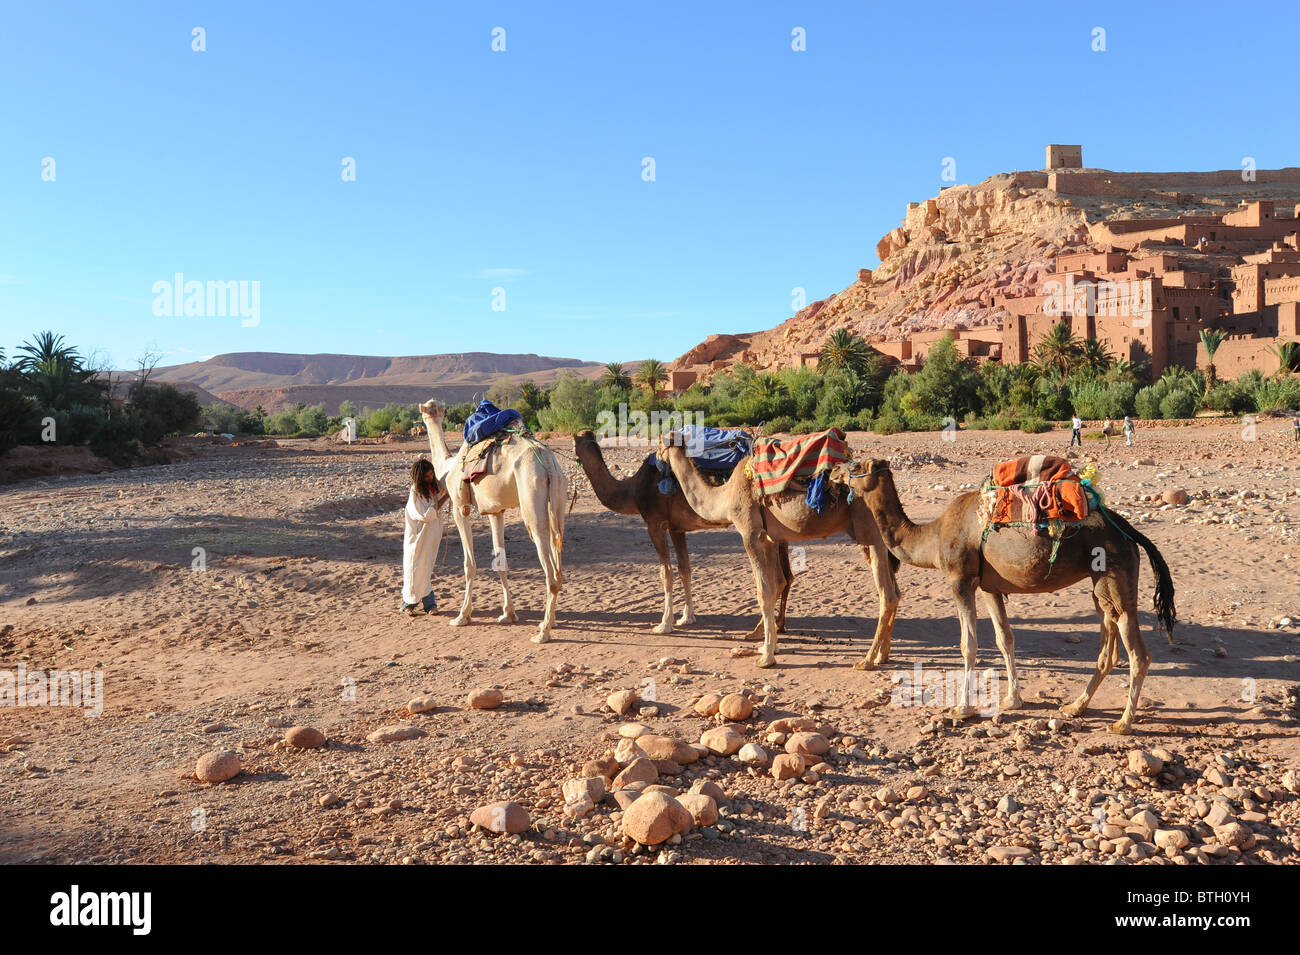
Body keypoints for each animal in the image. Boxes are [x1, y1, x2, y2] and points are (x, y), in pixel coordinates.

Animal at [421, 394, 564, 641]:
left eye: (428, 410)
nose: (426, 412)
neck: (449, 464)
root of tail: (549, 463)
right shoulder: (496, 512)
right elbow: (501, 562)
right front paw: (508, 614)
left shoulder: (460, 507)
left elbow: (469, 564)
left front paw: (462, 616)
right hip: (558, 501)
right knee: (558, 550)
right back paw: (549, 622)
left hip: (531, 501)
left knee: (550, 568)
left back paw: (543, 632)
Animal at [577, 431, 790, 639]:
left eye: (576, 442)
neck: (633, 490)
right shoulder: (676, 529)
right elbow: (684, 569)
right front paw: (687, 618)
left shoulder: (655, 524)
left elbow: (666, 573)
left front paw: (664, 624)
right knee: (786, 576)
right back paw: (776, 626)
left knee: (778, 578)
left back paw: (762, 630)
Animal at [660, 436, 894, 670]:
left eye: (661, 444)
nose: (657, 459)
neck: (726, 495)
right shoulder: (769, 538)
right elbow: (776, 584)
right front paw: (769, 646)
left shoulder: (750, 534)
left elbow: (763, 591)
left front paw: (766, 656)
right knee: (894, 591)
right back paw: (882, 656)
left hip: (871, 530)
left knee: (887, 594)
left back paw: (868, 660)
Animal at [847, 459, 1175, 738]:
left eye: (857, 466)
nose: (840, 473)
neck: (934, 535)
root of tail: (1129, 532)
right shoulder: (989, 587)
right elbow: (1005, 639)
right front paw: (1012, 700)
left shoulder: (960, 580)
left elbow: (968, 644)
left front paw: (962, 708)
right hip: (1101, 583)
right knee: (1109, 642)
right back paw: (1075, 706)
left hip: (1116, 573)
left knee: (1138, 653)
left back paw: (1123, 723)